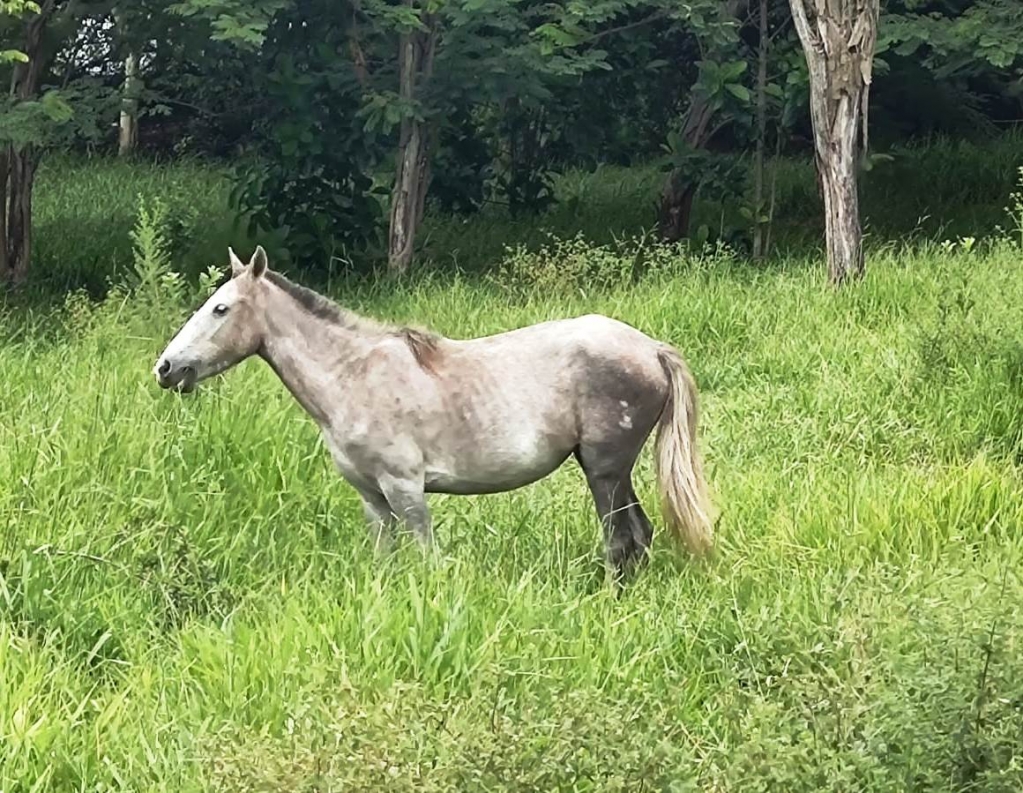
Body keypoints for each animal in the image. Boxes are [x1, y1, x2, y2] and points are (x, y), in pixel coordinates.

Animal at [153, 244, 712, 581]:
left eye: (221, 308)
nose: (166, 368)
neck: (354, 375)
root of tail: (651, 348)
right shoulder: (372, 499)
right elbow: (385, 561)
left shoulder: (405, 489)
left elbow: (426, 558)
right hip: (612, 471)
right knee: (638, 536)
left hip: (604, 471)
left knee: (622, 540)